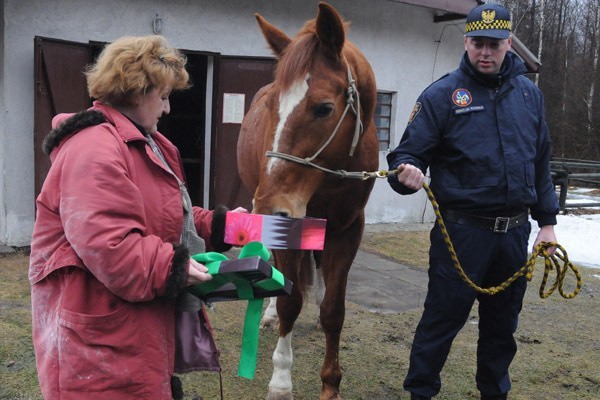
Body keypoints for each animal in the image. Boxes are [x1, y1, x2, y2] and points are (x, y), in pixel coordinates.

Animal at [237, 2, 378, 396]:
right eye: (273, 105)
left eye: (324, 108)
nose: (268, 206)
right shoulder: (289, 223)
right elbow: (290, 302)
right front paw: (281, 382)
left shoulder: (348, 229)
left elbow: (334, 310)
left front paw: (331, 383)